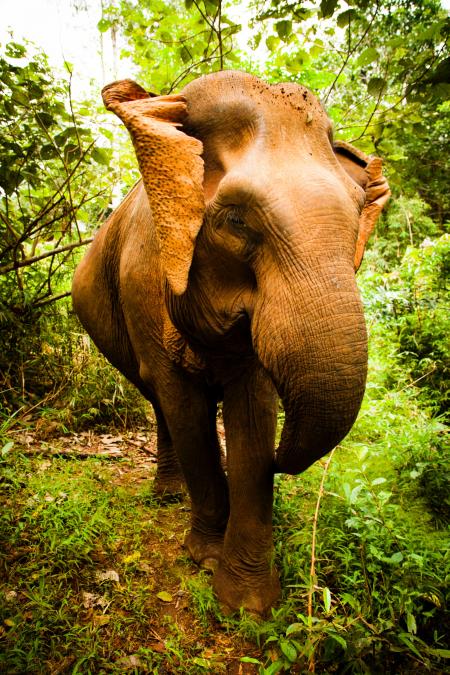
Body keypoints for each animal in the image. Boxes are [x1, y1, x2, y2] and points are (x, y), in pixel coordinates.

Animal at [71, 71, 390, 616]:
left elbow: (253, 415)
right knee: (159, 399)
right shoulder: (142, 278)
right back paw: (170, 495)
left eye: (357, 216)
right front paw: (204, 556)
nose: (285, 460)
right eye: (237, 221)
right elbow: (186, 408)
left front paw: (246, 604)